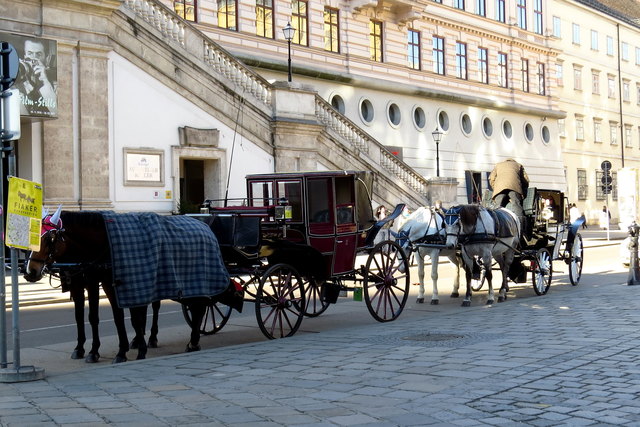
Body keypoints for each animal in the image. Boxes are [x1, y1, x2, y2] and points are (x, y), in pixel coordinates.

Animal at [23, 211, 210, 364]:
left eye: (48, 238)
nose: (30, 271)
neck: (102, 243)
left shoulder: (110, 284)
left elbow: (118, 317)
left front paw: (121, 352)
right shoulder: (85, 281)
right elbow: (86, 316)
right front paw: (86, 349)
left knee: (198, 306)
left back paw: (191, 341)